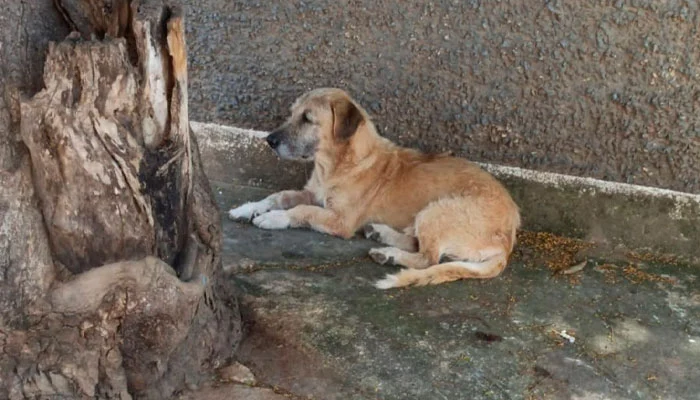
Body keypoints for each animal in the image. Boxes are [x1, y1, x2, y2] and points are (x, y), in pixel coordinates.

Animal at [230, 89, 520, 290]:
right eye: (292, 113)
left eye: (307, 119)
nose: (269, 140)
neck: (337, 166)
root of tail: (507, 240)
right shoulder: (313, 193)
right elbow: (279, 195)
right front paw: (247, 208)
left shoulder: (340, 221)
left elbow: (302, 210)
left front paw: (274, 218)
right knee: (418, 244)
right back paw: (382, 236)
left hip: (437, 210)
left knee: (428, 258)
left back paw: (390, 254)